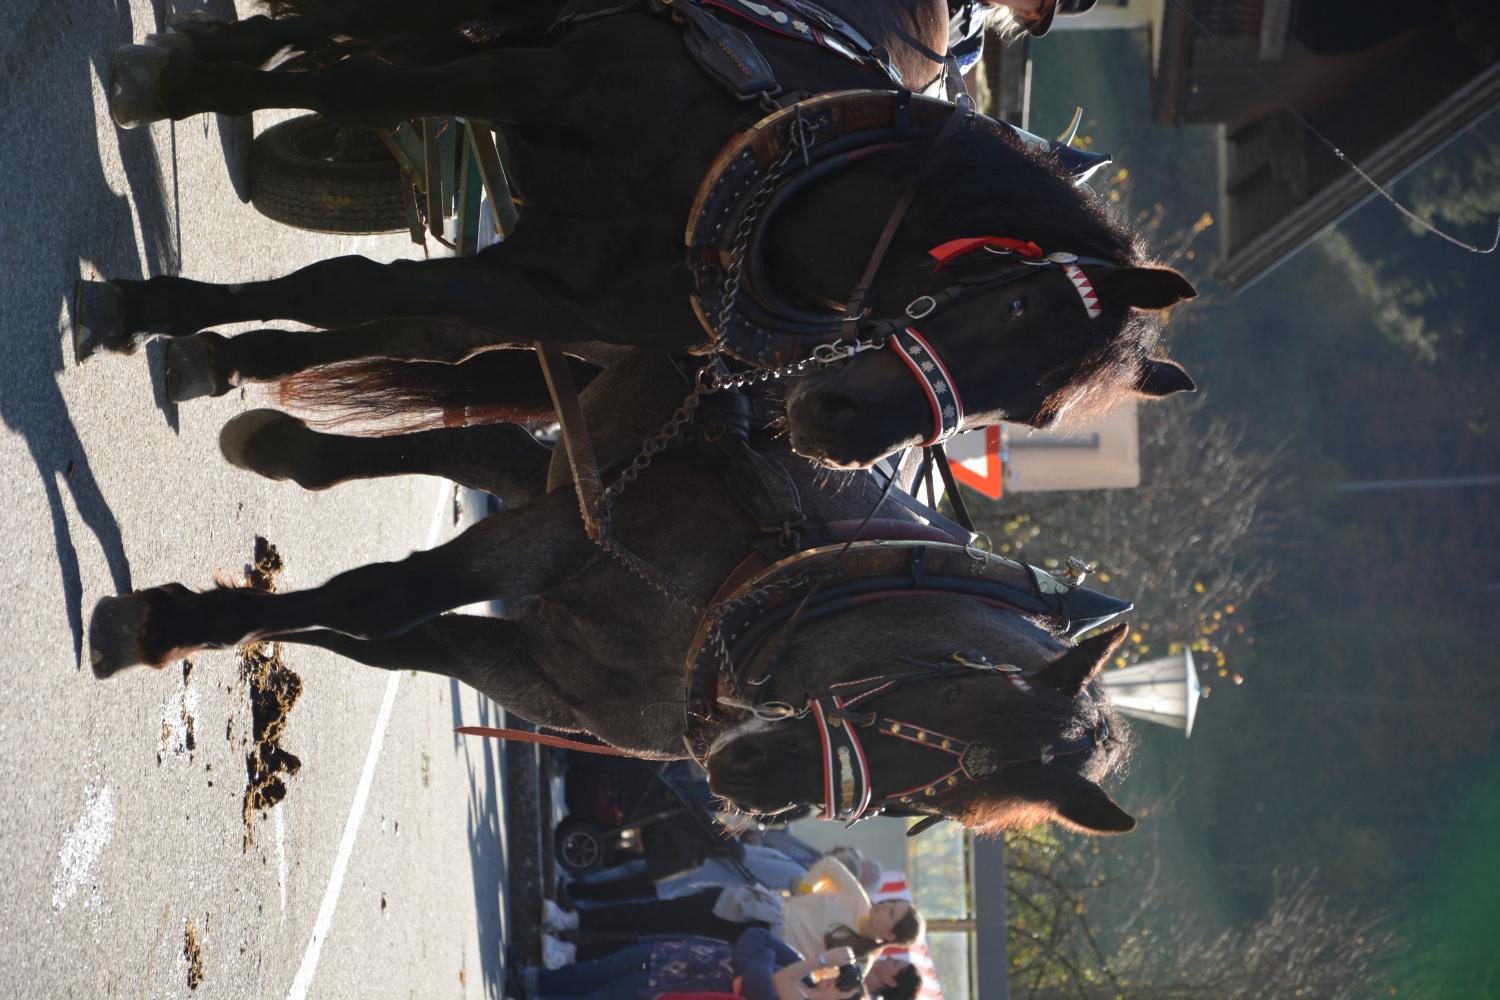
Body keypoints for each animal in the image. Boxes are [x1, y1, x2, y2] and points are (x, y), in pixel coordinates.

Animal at [75, 0, 1198, 469]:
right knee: (353, 35)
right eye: (1017, 302)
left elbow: (353, 292)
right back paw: (191, 65)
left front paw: (196, 338)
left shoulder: (545, 285)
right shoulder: (531, 80)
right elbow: (360, 93)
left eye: (1040, 416)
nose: (843, 434)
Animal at [88, 351, 1138, 835]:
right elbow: (381, 598)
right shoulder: (558, 543)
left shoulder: (525, 663)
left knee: (492, 449)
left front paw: (246, 650)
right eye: (954, 685)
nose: (744, 783)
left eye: (938, 814)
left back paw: (281, 446)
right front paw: (173, 622)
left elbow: (380, 635)